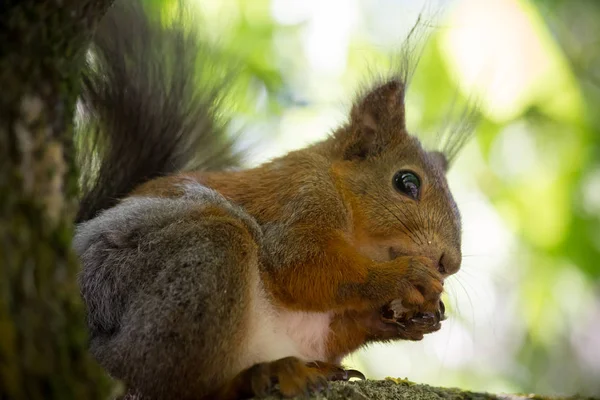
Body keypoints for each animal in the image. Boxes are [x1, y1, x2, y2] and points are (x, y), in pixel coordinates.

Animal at [71, 0, 474, 400]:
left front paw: (413, 318)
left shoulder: (317, 327)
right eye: (406, 182)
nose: (449, 263)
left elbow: (337, 324)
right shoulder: (299, 198)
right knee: (154, 377)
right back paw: (255, 376)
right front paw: (402, 276)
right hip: (186, 262)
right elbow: (302, 265)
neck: (340, 188)